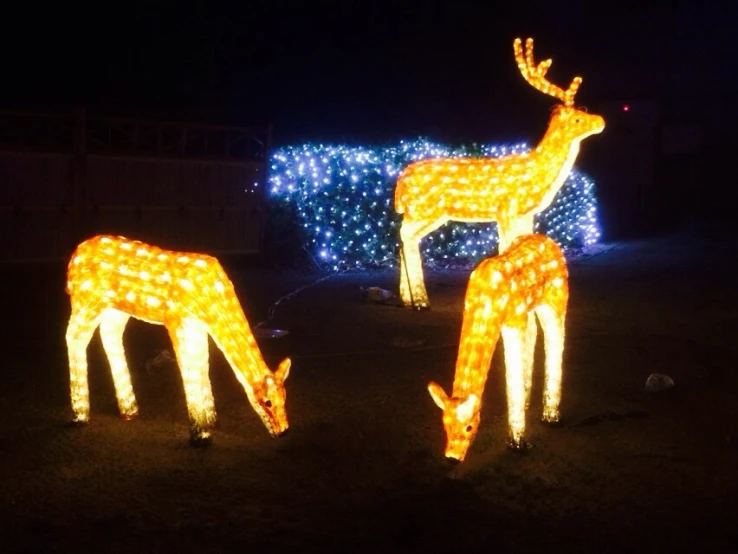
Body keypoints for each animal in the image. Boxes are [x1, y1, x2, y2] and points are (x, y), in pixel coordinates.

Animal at [65, 233, 290, 444]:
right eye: (267, 402)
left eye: (285, 397)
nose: (284, 430)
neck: (211, 296)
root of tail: (73, 259)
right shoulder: (177, 320)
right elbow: (188, 368)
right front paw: (201, 435)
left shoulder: (197, 326)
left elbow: (202, 363)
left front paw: (211, 420)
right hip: (88, 299)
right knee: (74, 336)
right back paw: (80, 416)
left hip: (117, 308)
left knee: (109, 334)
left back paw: (129, 410)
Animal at [394, 36, 600, 308]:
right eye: (577, 119)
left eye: (584, 109)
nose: (601, 121)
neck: (536, 172)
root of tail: (401, 180)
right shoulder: (507, 209)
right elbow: (506, 248)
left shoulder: (525, 213)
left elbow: (524, 245)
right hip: (424, 209)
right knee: (405, 236)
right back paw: (420, 300)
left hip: (426, 212)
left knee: (404, 237)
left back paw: (407, 299)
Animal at [426, 233, 568, 462]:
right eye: (444, 424)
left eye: (469, 427)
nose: (452, 457)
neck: (486, 296)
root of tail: (547, 239)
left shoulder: (513, 319)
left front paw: (519, 444)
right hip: (530, 308)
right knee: (533, 332)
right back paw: (528, 403)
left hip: (555, 299)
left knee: (555, 337)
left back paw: (551, 417)